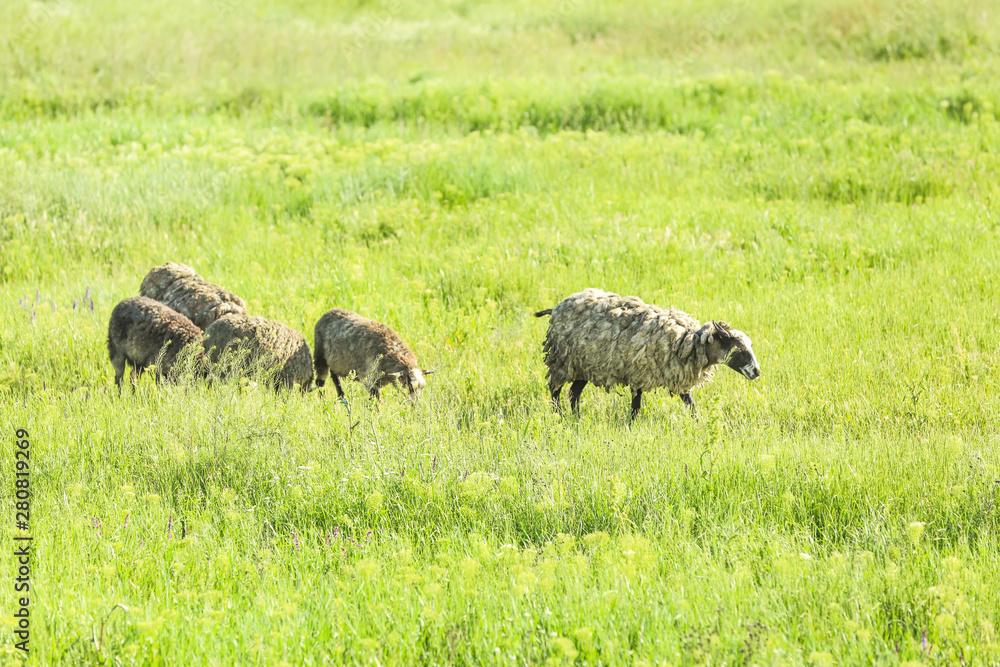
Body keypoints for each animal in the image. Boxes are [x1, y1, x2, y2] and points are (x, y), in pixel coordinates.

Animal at [536, 288, 760, 422]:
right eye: (739, 349)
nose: (757, 371)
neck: (685, 342)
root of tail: (556, 307)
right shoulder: (638, 374)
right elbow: (636, 406)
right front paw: (630, 426)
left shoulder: (676, 377)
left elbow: (690, 404)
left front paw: (699, 423)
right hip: (563, 360)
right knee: (555, 391)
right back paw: (560, 417)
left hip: (584, 365)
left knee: (574, 393)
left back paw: (577, 419)